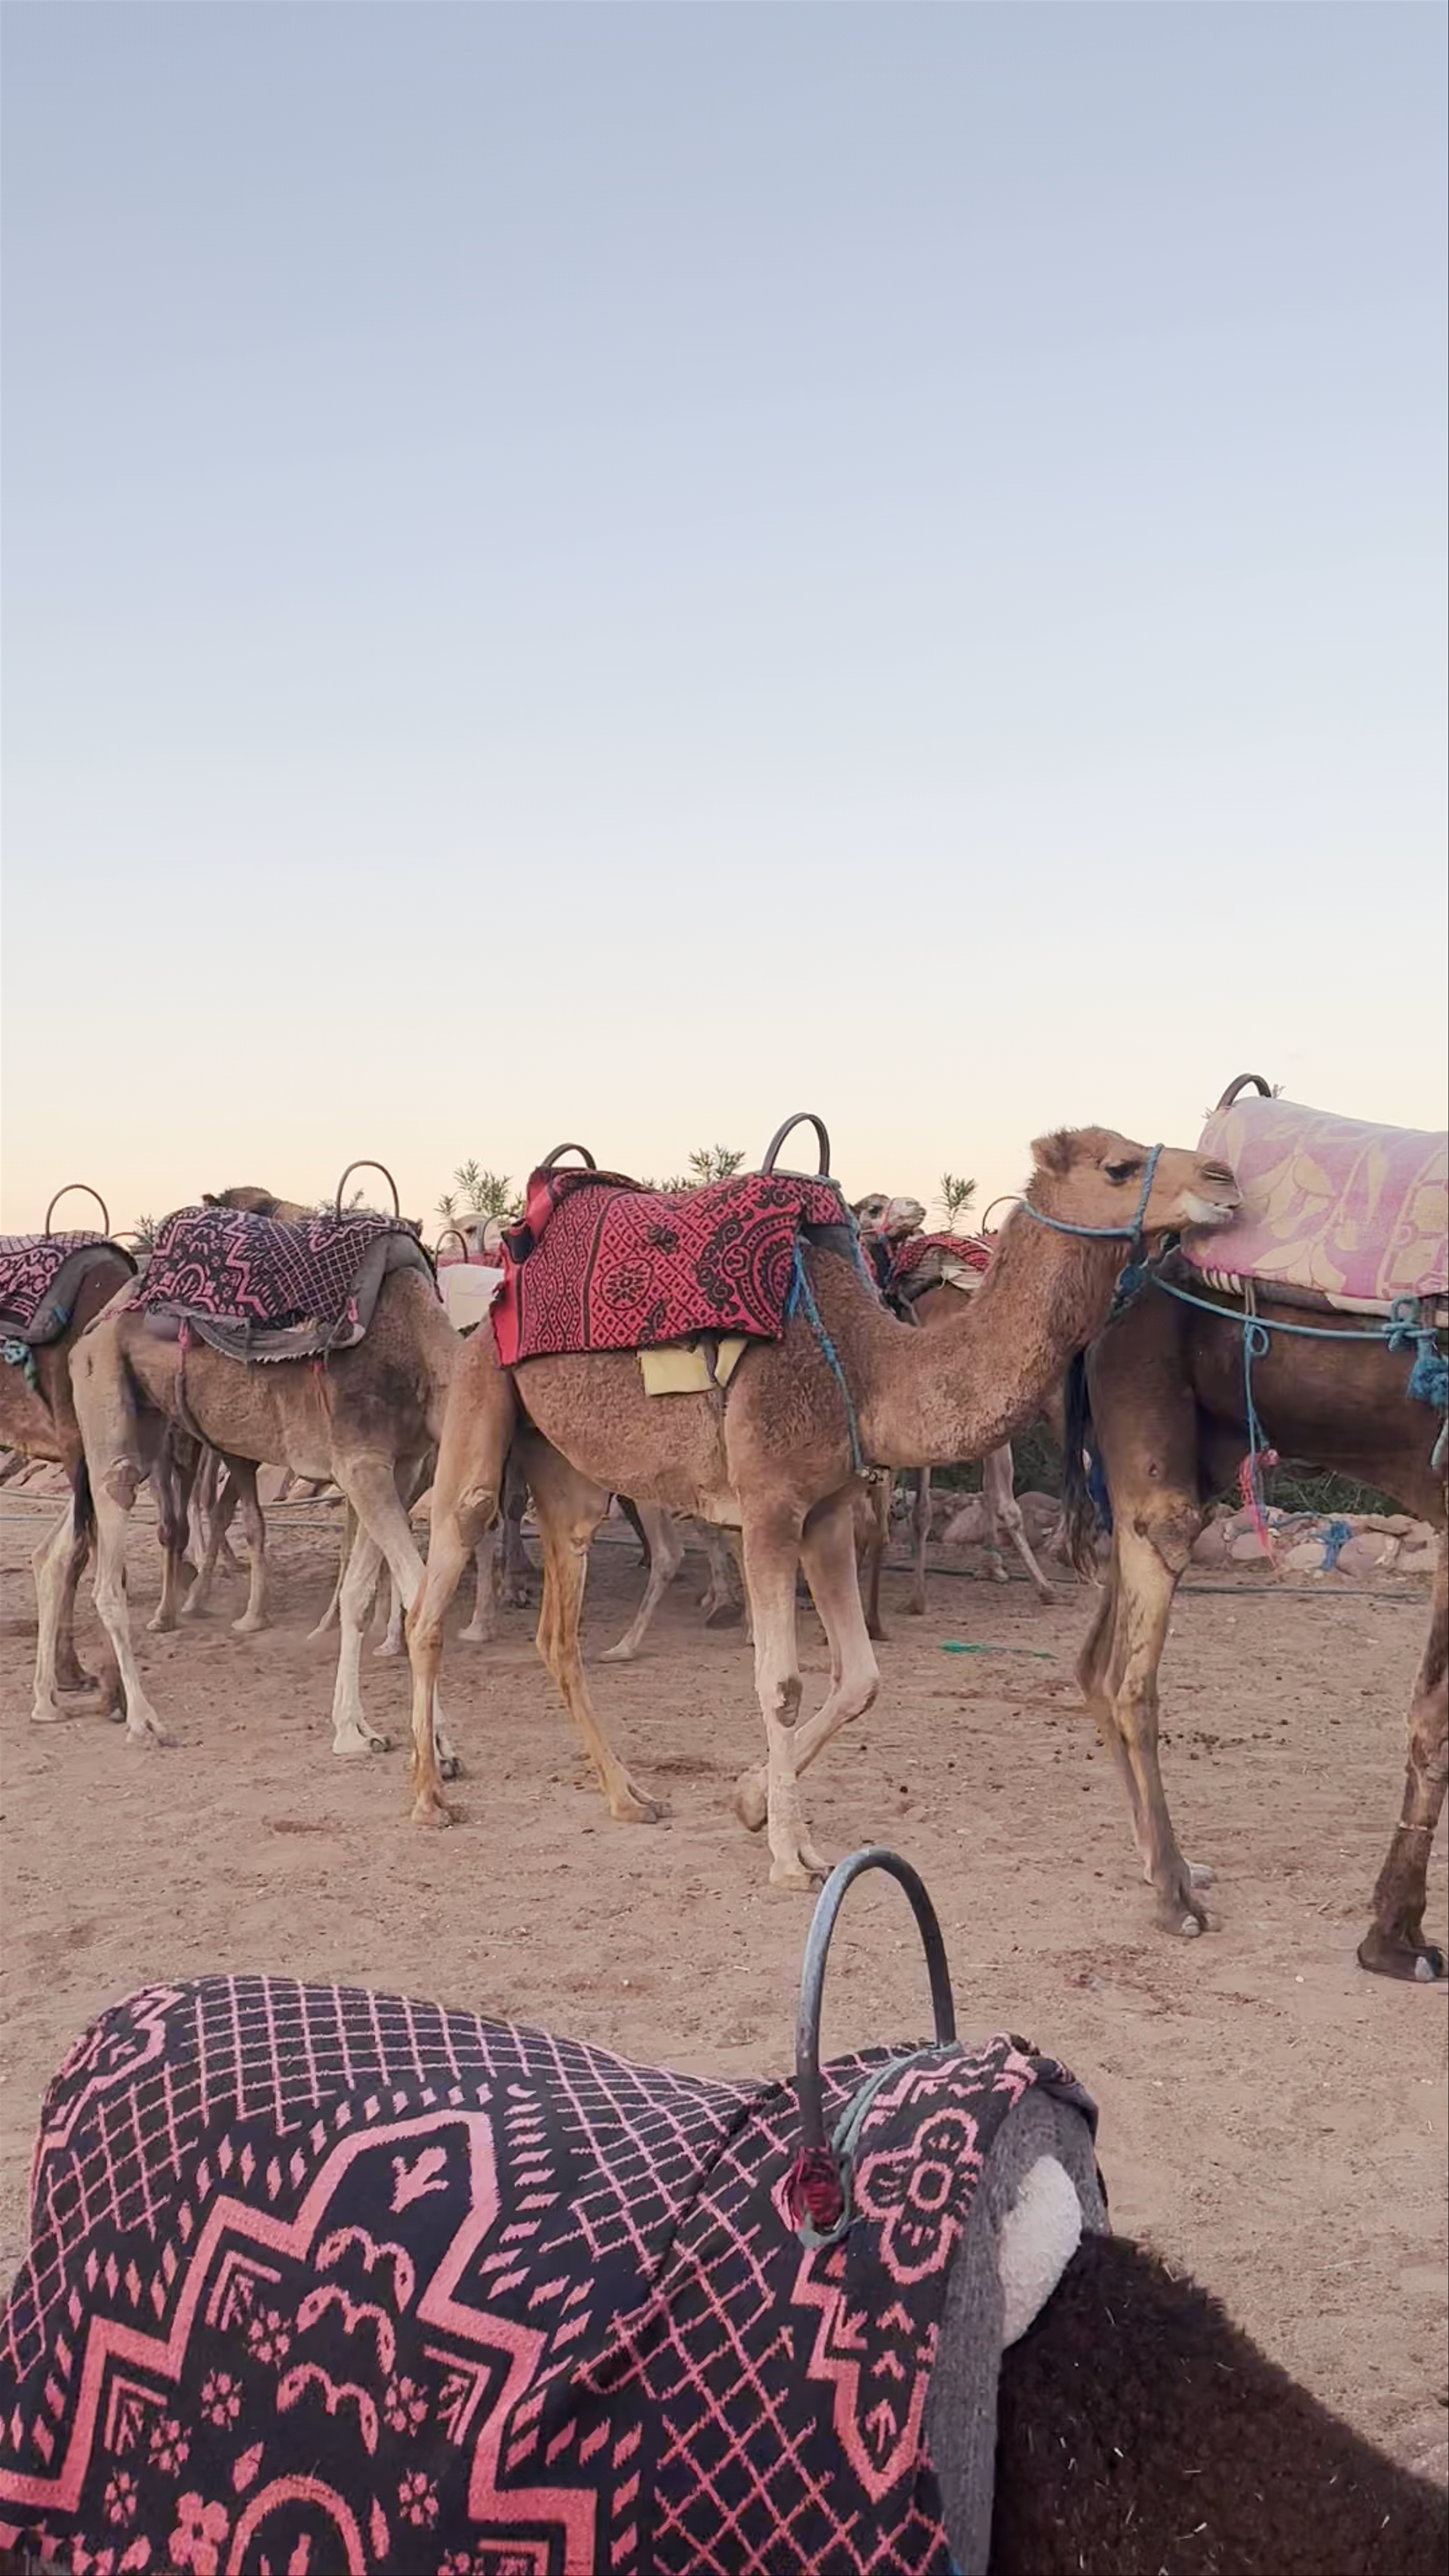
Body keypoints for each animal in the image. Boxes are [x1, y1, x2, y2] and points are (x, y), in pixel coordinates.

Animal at [69, 1187, 462, 1758]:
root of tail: (94, 1326)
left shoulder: (401, 1464)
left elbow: (359, 1596)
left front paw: (355, 1729)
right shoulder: (362, 1460)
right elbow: (417, 1593)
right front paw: (442, 1749)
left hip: (151, 1412)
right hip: (104, 1394)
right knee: (111, 1550)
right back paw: (145, 1720)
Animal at [406, 1126, 1241, 1880]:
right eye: (1119, 1165)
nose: (1225, 1178)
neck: (869, 1366)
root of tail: (501, 1283)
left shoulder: (829, 1511)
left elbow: (863, 1676)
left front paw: (750, 1801)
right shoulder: (770, 1507)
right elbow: (780, 1684)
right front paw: (789, 1854)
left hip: (568, 1470)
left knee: (558, 1634)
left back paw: (629, 1796)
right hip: (481, 1404)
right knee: (435, 1593)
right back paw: (431, 1796)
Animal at [1069, 1245, 1448, 1978]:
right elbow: (1433, 1720)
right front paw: (1393, 1938)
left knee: (1095, 1663)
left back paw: (1167, 1866)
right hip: (1152, 1448)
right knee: (1130, 1679)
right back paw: (1175, 1899)